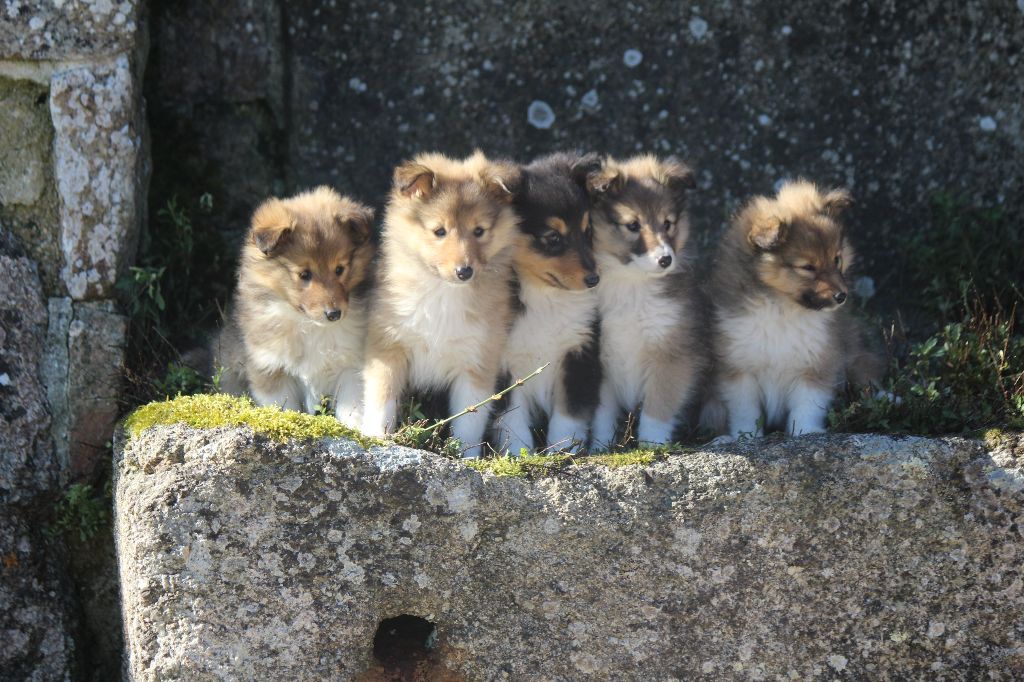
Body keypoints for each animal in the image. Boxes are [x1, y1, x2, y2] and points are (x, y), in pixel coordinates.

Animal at [214, 183, 374, 421]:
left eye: (339, 269)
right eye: (304, 274)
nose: (334, 314)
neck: (308, 325)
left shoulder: (351, 368)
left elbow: (353, 410)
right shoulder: (270, 369)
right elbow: (284, 408)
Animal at [360, 151, 520, 454]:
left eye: (479, 230)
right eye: (439, 231)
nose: (464, 271)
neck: (443, 293)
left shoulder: (477, 362)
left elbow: (469, 423)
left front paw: (467, 458)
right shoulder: (387, 347)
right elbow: (381, 402)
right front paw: (375, 438)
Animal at [493, 151, 602, 454]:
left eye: (587, 231)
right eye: (553, 238)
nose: (594, 279)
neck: (545, 296)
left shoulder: (578, 353)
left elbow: (568, 415)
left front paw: (562, 451)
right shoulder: (504, 366)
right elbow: (512, 420)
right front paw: (518, 454)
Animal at [585, 155, 704, 448]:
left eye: (667, 223)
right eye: (633, 225)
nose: (665, 259)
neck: (632, 283)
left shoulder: (672, 354)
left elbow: (657, 407)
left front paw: (652, 445)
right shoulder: (602, 363)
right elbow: (603, 414)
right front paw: (601, 448)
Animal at [708, 179, 884, 436]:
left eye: (837, 259)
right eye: (808, 267)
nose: (842, 296)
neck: (782, 308)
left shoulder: (816, 364)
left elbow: (806, 406)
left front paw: (805, 433)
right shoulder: (739, 369)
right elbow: (746, 412)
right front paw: (745, 437)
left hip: (854, 354)